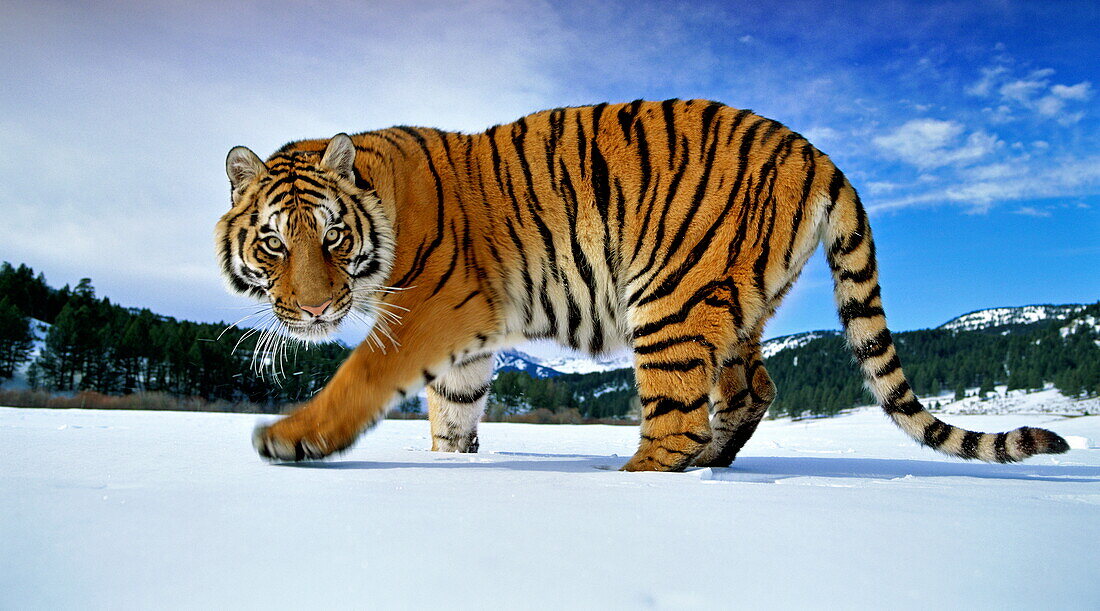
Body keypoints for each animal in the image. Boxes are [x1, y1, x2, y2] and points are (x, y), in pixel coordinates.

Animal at [214, 97, 1064, 471]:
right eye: (274, 241)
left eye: (332, 235)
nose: (314, 306)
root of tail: (818, 152)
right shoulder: (467, 343)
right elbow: (451, 413)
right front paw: (454, 467)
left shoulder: (433, 309)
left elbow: (360, 376)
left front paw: (290, 437)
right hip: (735, 304)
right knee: (755, 386)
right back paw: (712, 462)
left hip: (670, 300)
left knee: (678, 419)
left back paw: (639, 477)